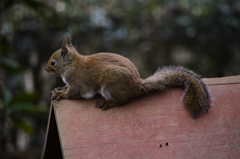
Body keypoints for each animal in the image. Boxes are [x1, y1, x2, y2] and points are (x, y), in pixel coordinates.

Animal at [45, 35, 210, 119]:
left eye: (53, 62)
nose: (46, 69)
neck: (72, 64)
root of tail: (137, 86)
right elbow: (66, 87)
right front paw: (60, 88)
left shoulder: (77, 83)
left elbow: (72, 93)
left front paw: (61, 94)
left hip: (111, 84)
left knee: (121, 101)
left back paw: (107, 103)